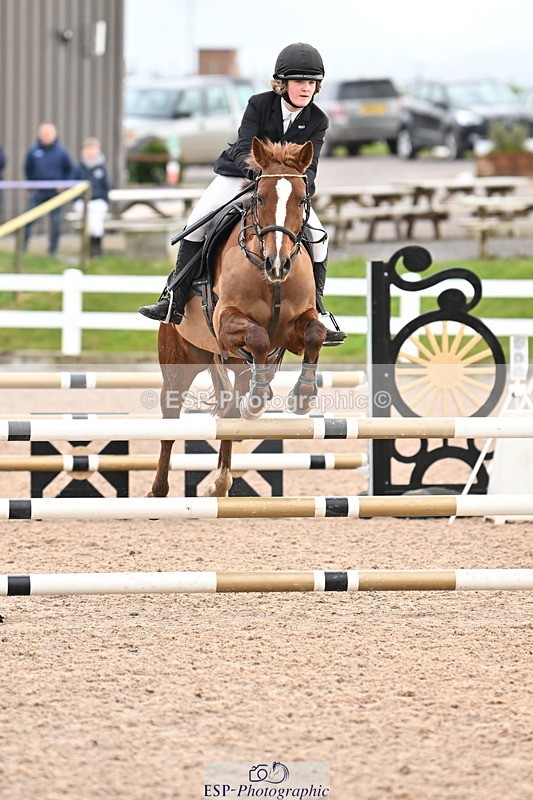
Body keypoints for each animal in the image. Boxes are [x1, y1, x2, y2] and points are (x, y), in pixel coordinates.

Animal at [149, 137, 328, 498]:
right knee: (170, 420)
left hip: (233, 366)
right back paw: (158, 491)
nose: (278, 264)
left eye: (302, 200)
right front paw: (262, 400)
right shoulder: (226, 322)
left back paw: (220, 482)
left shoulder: (295, 329)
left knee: (231, 410)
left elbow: (314, 333)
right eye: (259, 198)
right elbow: (258, 336)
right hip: (179, 363)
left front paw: (301, 397)